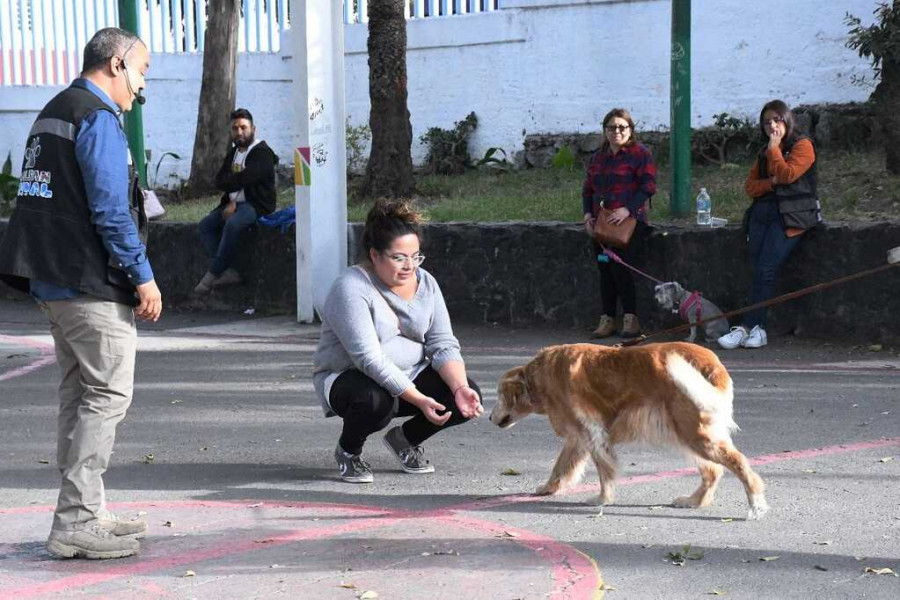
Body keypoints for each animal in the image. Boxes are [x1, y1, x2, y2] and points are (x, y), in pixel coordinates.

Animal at [488, 342, 768, 520]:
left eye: (500, 395)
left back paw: (756, 505)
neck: (542, 377)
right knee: (713, 471)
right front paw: (549, 488)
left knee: (739, 464)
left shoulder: (593, 433)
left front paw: (602, 499)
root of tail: (713, 364)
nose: (489, 417)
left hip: (696, 434)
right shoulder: (577, 438)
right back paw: (693, 501)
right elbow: (561, 467)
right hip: (688, 434)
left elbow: (604, 471)